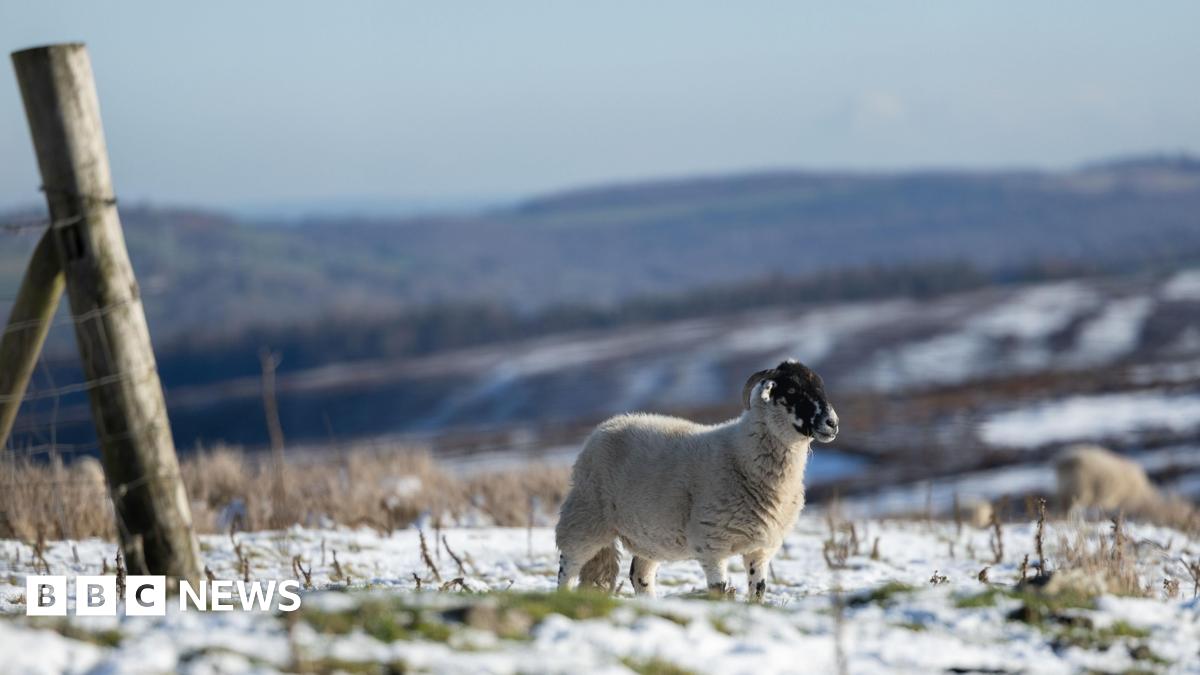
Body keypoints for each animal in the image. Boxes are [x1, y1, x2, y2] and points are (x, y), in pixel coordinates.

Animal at [555, 359, 839, 602]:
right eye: (792, 389)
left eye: (820, 387)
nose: (832, 423)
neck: (742, 453)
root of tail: (610, 423)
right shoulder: (712, 542)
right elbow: (719, 589)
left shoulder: (761, 548)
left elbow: (758, 590)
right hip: (585, 517)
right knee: (568, 567)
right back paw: (562, 597)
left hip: (648, 535)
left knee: (640, 576)